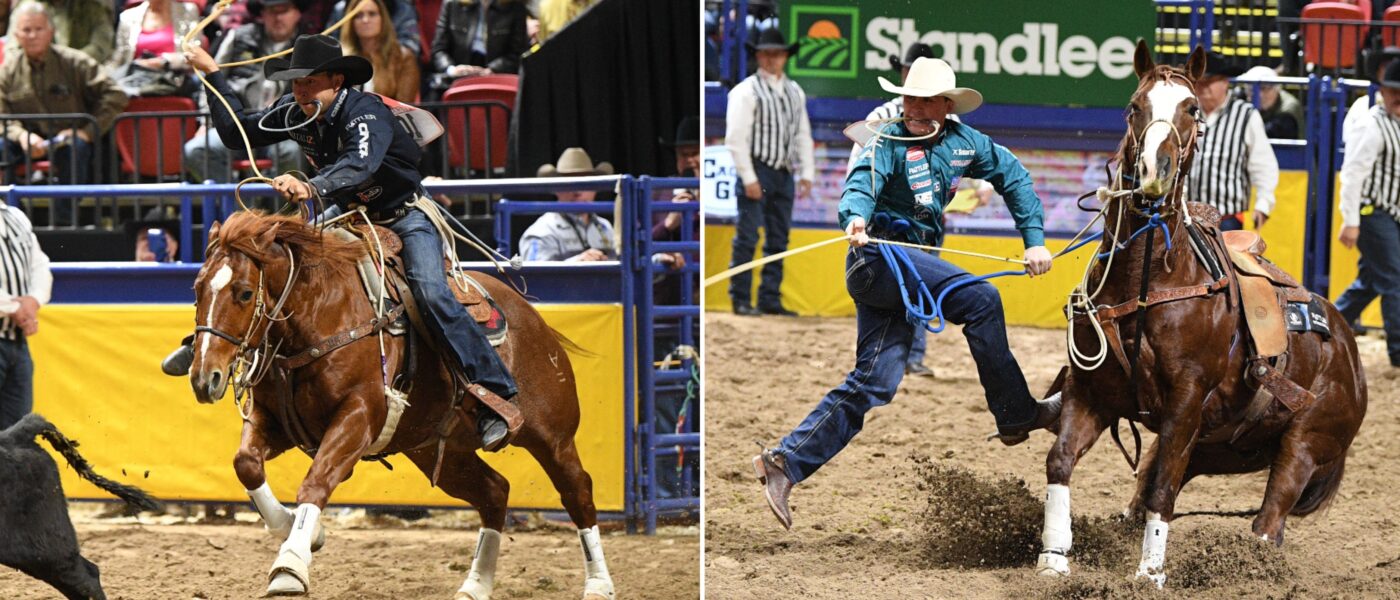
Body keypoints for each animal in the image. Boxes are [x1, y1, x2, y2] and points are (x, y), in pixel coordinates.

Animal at [184, 211, 613, 598]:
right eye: (197, 288)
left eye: (244, 292)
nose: (205, 378)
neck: (322, 314)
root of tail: (535, 320)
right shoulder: (272, 421)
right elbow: (246, 464)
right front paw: (298, 529)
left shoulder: (358, 418)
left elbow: (316, 481)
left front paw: (290, 565)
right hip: (438, 451)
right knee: (494, 492)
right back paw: (475, 585)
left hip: (552, 436)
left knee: (577, 491)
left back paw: (598, 583)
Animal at [1041, 44, 1366, 587]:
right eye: (1134, 106)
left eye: (1192, 109)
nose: (1154, 171)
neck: (1149, 281)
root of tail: (1348, 351)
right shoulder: (1090, 391)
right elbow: (1061, 461)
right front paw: (1053, 559)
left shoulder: (1186, 401)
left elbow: (1163, 492)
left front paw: (1149, 575)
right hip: (1221, 444)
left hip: (1303, 444)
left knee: (1267, 520)